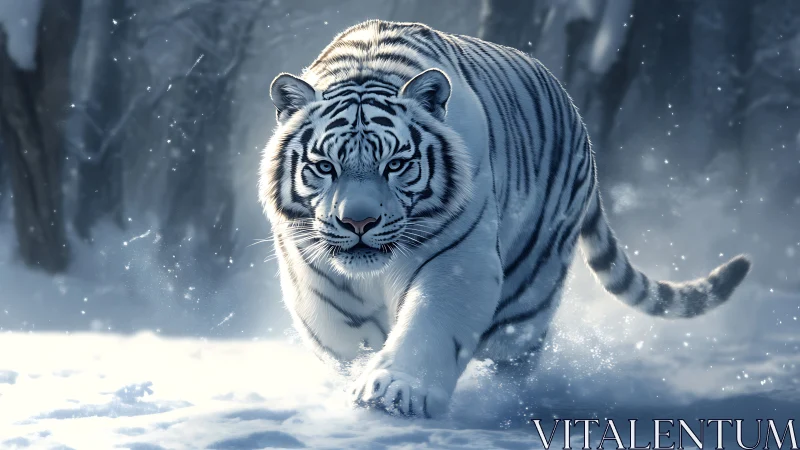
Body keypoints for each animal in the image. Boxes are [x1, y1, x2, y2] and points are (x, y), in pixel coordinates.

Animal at [258, 20, 750, 418]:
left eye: (396, 164)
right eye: (325, 167)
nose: (358, 223)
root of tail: (576, 116)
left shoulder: (458, 258)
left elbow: (428, 324)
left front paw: (395, 392)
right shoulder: (313, 272)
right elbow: (342, 336)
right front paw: (362, 374)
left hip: (531, 289)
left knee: (513, 353)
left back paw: (506, 402)